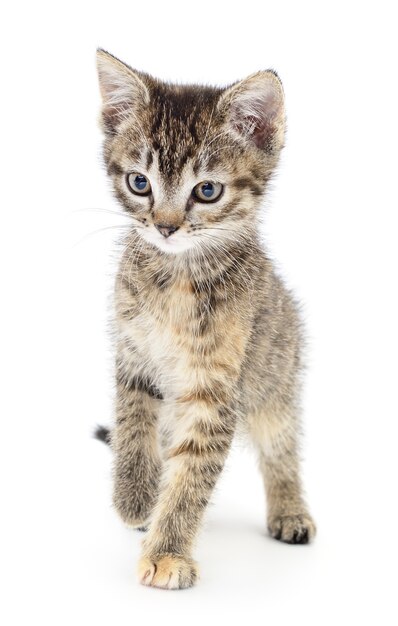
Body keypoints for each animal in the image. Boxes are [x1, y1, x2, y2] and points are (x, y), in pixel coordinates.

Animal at [95, 50, 316, 588]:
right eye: (139, 183)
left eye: (208, 191)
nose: (165, 227)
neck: (176, 277)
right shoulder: (132, 354)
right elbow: (133, 425)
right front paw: (134, 495)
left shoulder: (215, 391)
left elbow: (192, 475)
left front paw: (167, 553)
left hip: (276, 380)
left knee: (281, 446)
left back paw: (290, 510)